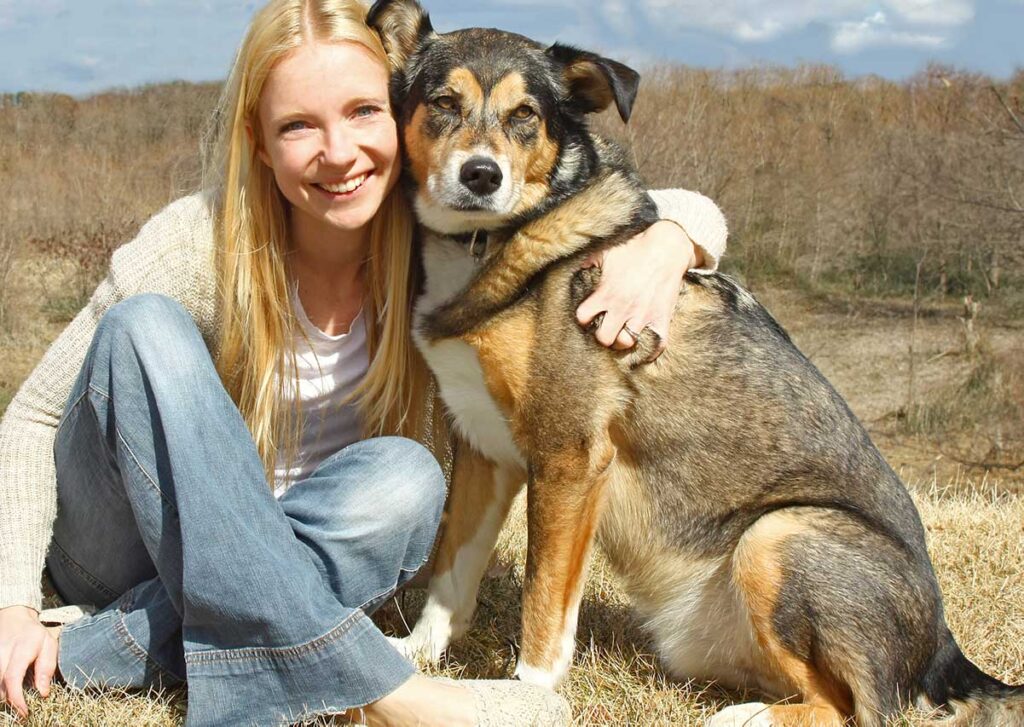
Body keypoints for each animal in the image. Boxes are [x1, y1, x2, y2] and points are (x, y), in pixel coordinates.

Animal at [368, 2, 1024, 724]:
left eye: (525, 115)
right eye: (443, 102)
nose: (481, 176)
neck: (492, 242)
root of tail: (944, 652)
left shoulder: (569, 456)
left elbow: (543, 603)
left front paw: (527, 695)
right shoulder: (486, 452)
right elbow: (453, 572)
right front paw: (416, 653)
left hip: (777, 533)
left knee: (855, 709)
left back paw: (744, 717)